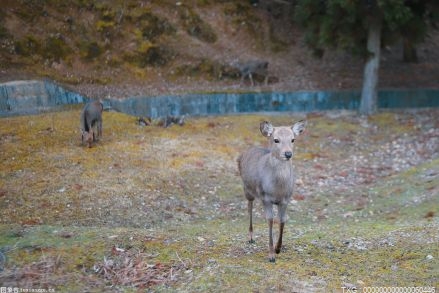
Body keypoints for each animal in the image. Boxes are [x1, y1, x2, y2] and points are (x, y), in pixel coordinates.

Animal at [239, 120, 308, 262]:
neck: (277, 189)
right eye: (276, 140)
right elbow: (270, 221)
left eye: (293, 139)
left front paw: (278, 248)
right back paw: (250, 237)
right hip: (247, 189)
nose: (288, 154)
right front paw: (271, 255)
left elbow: (282, 220)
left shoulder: (286, 200)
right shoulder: (266, 198)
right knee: (249, 208)